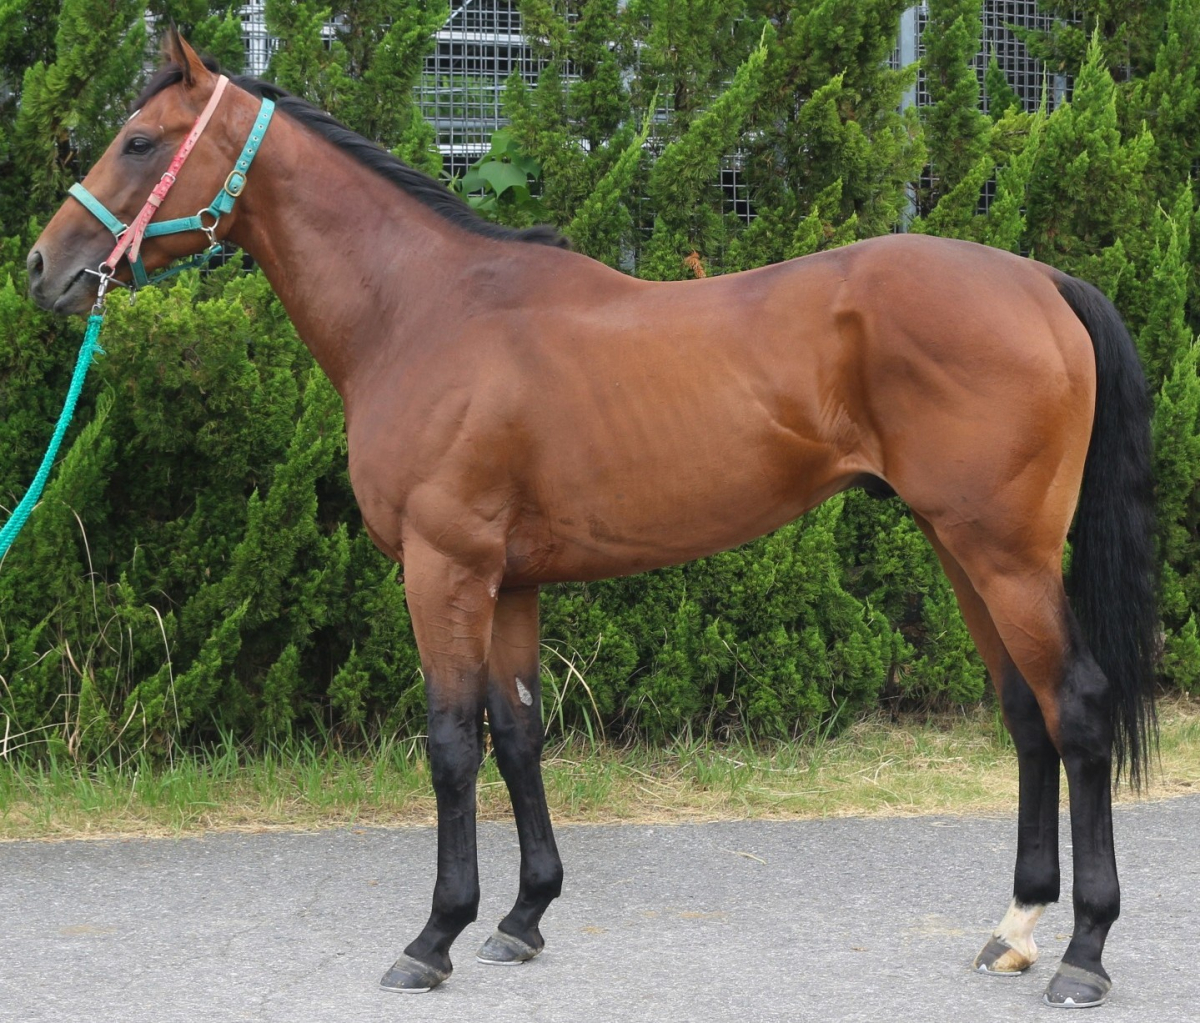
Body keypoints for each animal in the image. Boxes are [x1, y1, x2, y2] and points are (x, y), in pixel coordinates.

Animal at [26, 32, 1156, 1009]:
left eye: (141, 141)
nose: (43, 267)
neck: (424, 311)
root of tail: (1040, 279)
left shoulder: (443, 569)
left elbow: (451, 741)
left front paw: (433, 937)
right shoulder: (511, 581)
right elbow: (521, 733)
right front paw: (522, 918)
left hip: (1003, 554)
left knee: (1079, 707)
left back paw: (1084, 953)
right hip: (963, 549)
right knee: (1026, 714)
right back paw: (1015, 930)